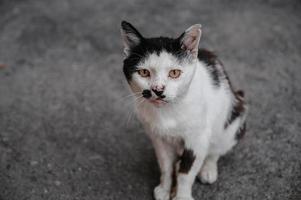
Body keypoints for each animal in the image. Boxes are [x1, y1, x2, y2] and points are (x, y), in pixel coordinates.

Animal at [120, 20, 247, 200]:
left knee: (216, 149)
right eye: (144, 72)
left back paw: (208, 169)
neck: (168, 112)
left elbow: (186, 173)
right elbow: (165, 166)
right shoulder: (158, 138)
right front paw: (165, 189)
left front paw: (181, 196)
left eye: (174, 73)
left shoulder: (198, 138)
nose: (158, 89)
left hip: (234, 118)